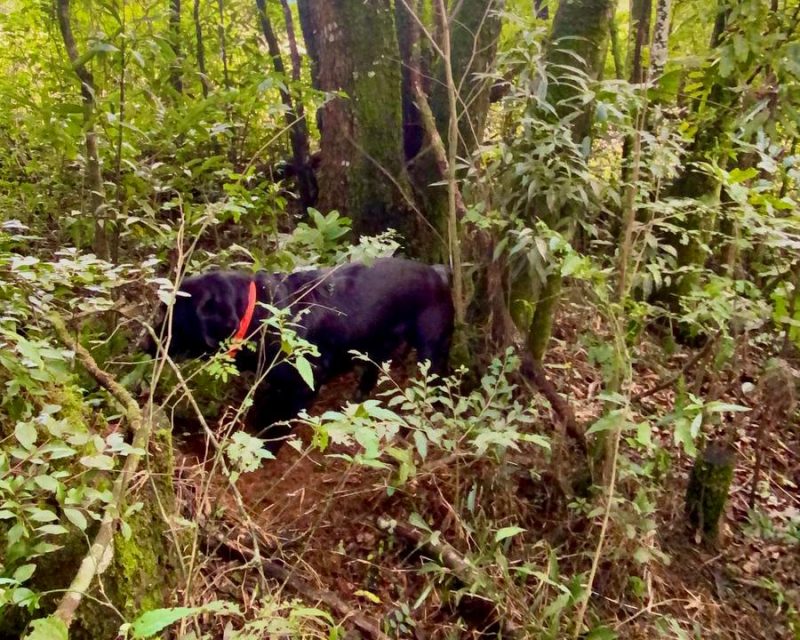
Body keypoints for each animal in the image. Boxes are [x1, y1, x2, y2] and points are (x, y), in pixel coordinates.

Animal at [146, 258, 454, 448]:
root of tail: (439, 273)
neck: (260, 313)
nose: (144, 344)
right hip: (377, 345)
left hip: (431, 352)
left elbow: (279, 426)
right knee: (371, 372)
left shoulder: (304, 386)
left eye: (170, 315)